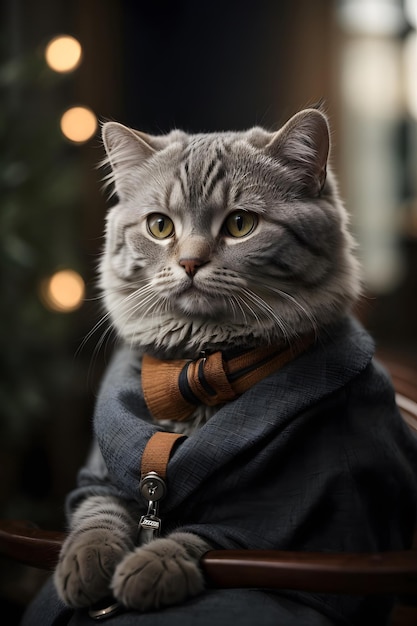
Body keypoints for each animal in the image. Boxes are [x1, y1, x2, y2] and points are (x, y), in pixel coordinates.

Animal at [52, 108, 360, 608]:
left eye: (240, 224)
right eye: (160, 226)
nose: (190, 263)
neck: (195, 373)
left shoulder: (287, 522)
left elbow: (218, 537)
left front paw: (154, 565)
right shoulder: (98, 478)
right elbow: (98, 509)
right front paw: (87, 560)